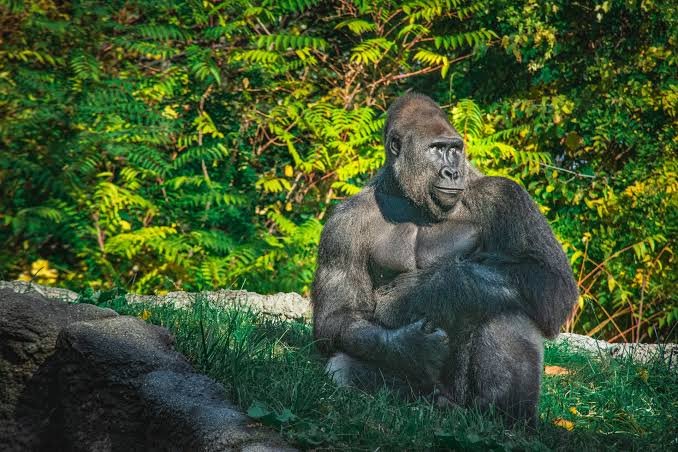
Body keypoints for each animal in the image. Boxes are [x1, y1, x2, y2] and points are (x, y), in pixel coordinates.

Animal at [311, 92, 578, 424]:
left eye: (455, 149)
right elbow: (337, 317)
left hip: (463, 396)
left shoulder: (505, 196)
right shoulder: (341, 224)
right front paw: (410, 347)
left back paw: (503, 415)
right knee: (342, 368)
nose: (452, 172)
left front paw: (435, 287)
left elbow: (549, 279)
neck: (408, 197)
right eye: (436, 149)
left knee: (508, 304)